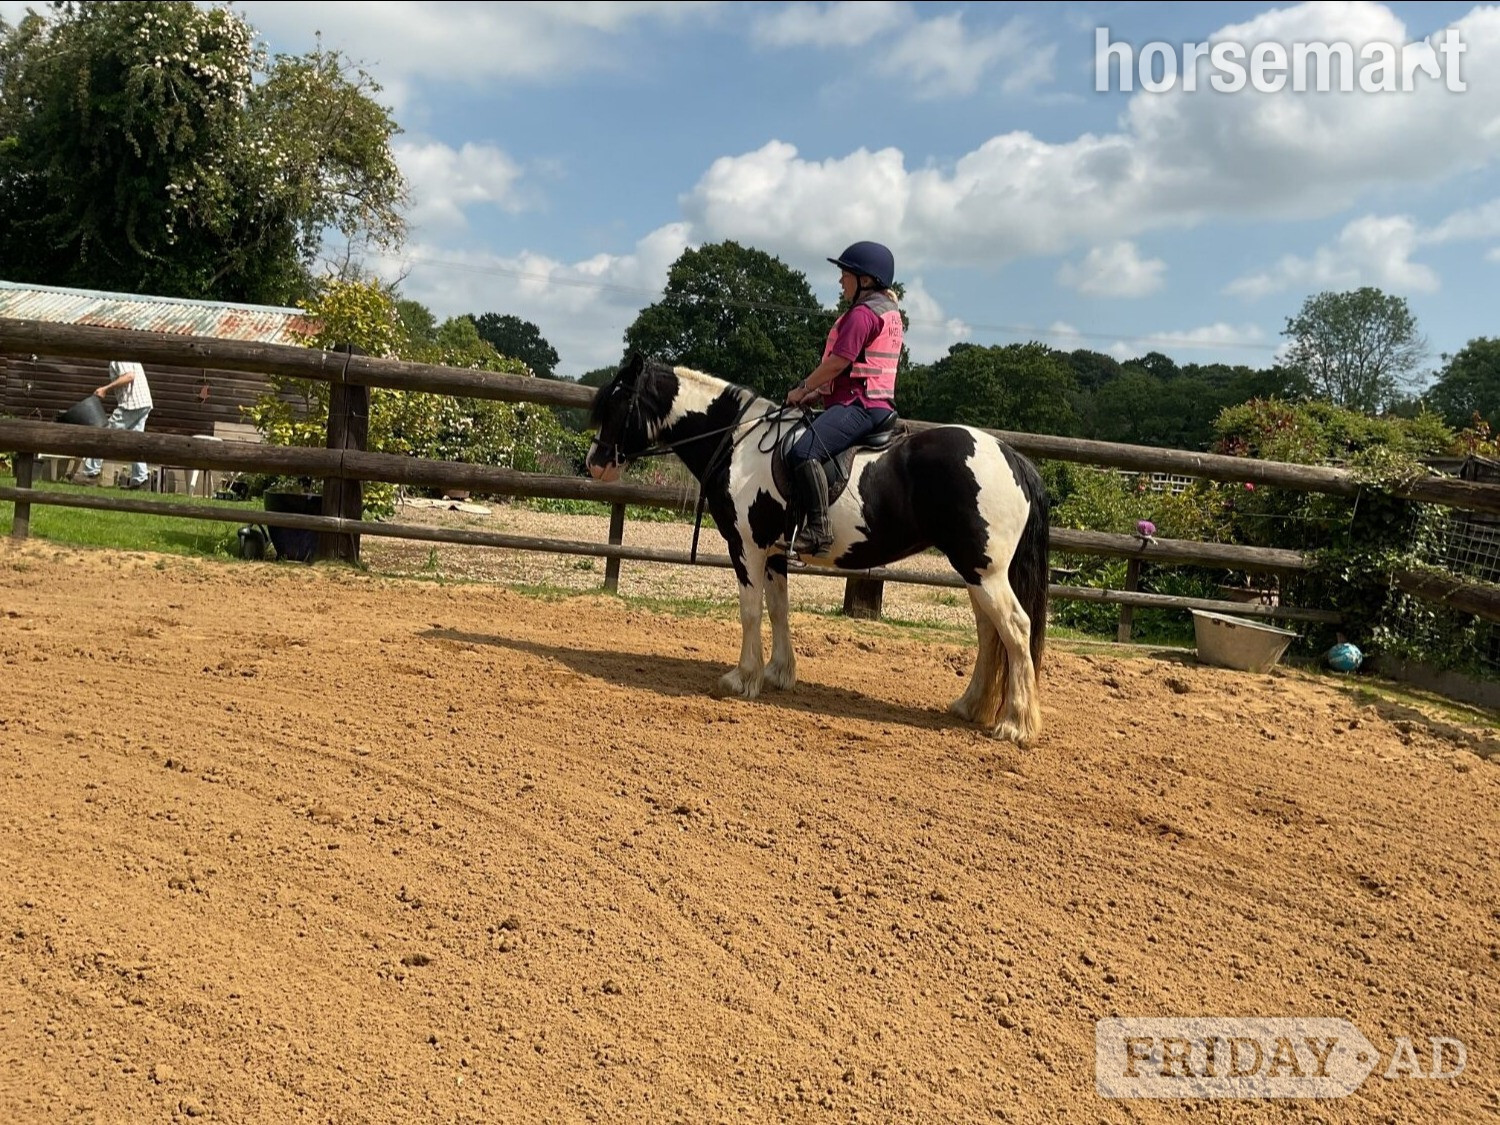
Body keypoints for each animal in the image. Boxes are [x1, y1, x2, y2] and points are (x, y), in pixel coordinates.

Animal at [585, 354, 1051, 747]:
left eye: (618, 404)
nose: (594, 463)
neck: (739, 442)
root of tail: (1013, 458)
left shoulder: (747, 547)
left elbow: (750, 611)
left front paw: (743, 677)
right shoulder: (774, 552)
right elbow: (778, 608)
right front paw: (779, 673)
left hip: (984, 571)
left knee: (1015, 628)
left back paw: (1016, 725)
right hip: (975, 571)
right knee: (990, 634)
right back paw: (970, 706)